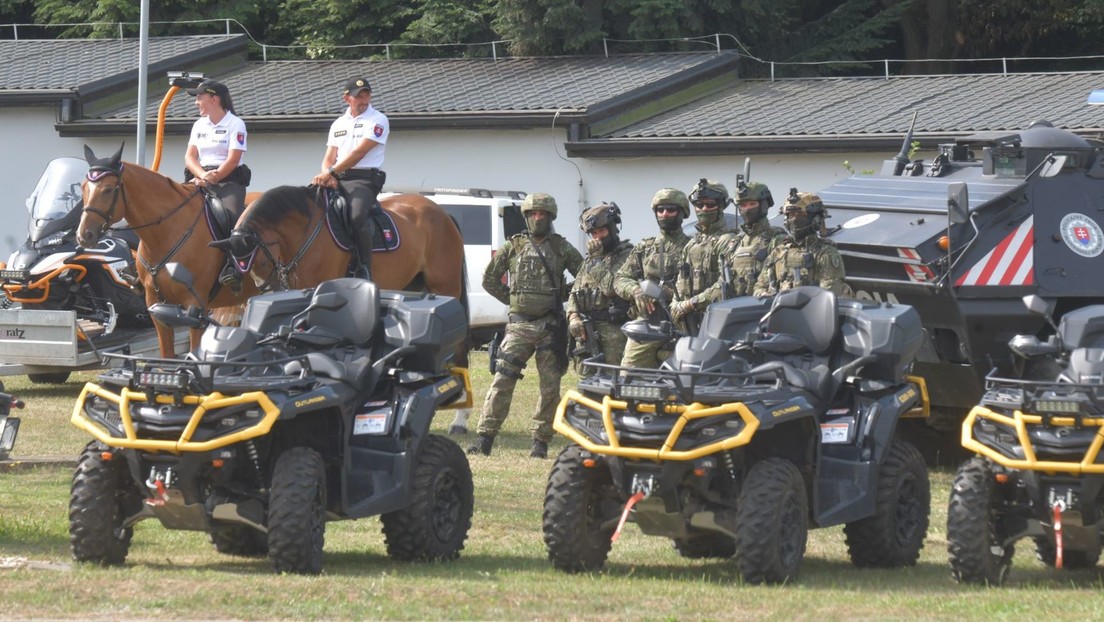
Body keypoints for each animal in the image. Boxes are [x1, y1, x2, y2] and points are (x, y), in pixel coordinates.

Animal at [76, 145, 261, 357]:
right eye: (83, 187)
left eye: (107, 189)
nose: (83, 235)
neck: (166, 233)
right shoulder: (157, 307)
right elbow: (166, 356)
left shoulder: (195, 307)